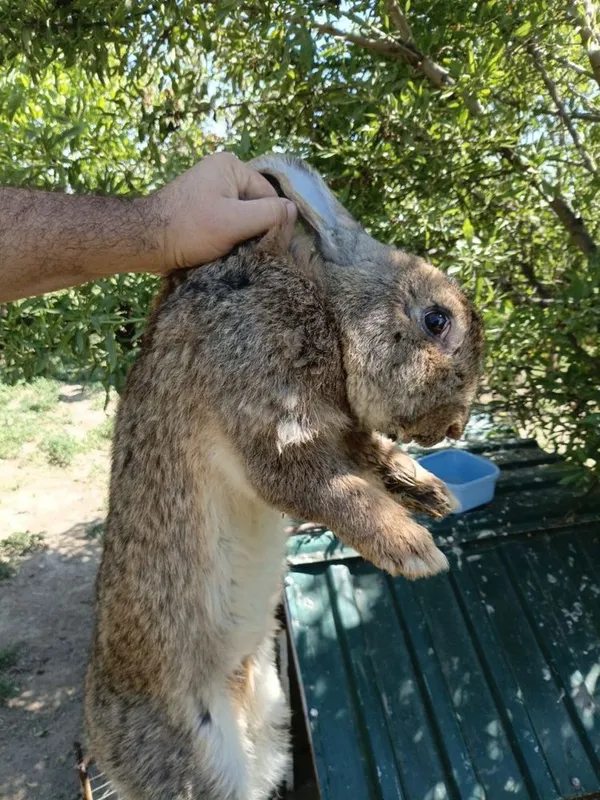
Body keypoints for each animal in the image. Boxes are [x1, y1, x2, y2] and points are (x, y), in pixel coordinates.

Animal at [85, 154, 483, 800]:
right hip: (198, 762)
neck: (327, 303)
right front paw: (417, 552)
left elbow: (375, 460)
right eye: (435, 319)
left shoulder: (341, 431)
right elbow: (340, 493)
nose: (452, 428)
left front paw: (435, 494)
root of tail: (95, 732)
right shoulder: (273, 425)